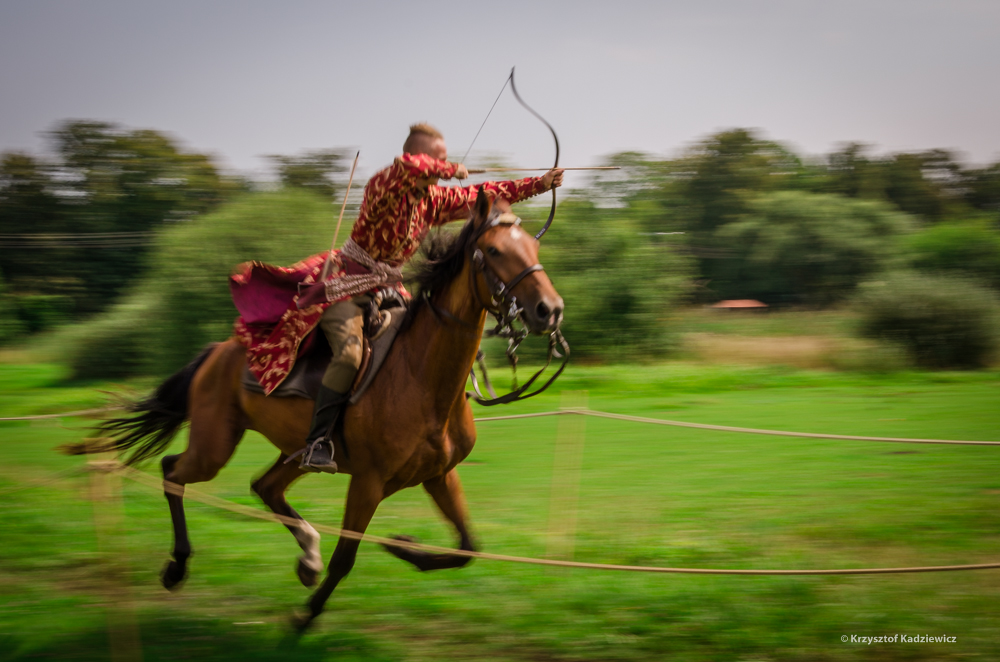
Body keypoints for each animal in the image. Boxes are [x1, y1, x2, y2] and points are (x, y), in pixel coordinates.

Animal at [76, 195, 564, 632]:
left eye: (534, 247)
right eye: (495, 251)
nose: (550, 310)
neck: (422, 378)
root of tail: (218, 351)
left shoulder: (439, 475)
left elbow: (468, 546)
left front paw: (402, 546)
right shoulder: (368, 482)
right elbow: (346, 558)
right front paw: (304, 617)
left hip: (296, 452)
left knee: (264, 487)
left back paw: (306, 556)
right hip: (215, 445)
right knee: (173, 471)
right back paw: (178, 566)